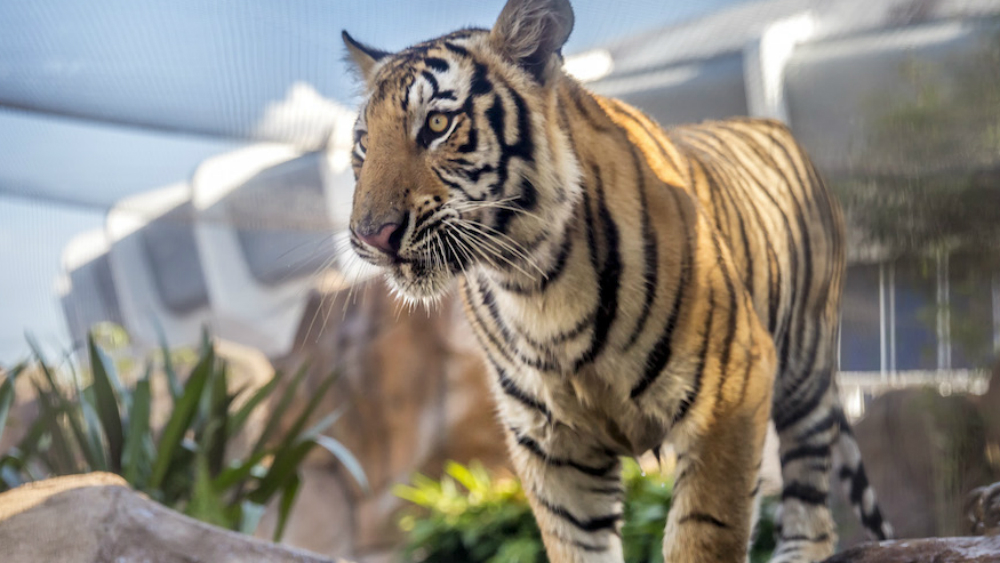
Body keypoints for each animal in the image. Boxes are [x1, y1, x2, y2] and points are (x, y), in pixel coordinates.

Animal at [342, 0, 892, 561]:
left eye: (437, 123)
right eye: (363, 143)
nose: (372, 235)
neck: (532, 284)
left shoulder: (732, 388)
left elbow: (705, 530)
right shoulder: (551, 444)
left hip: (804, 369)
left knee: (812, 503)